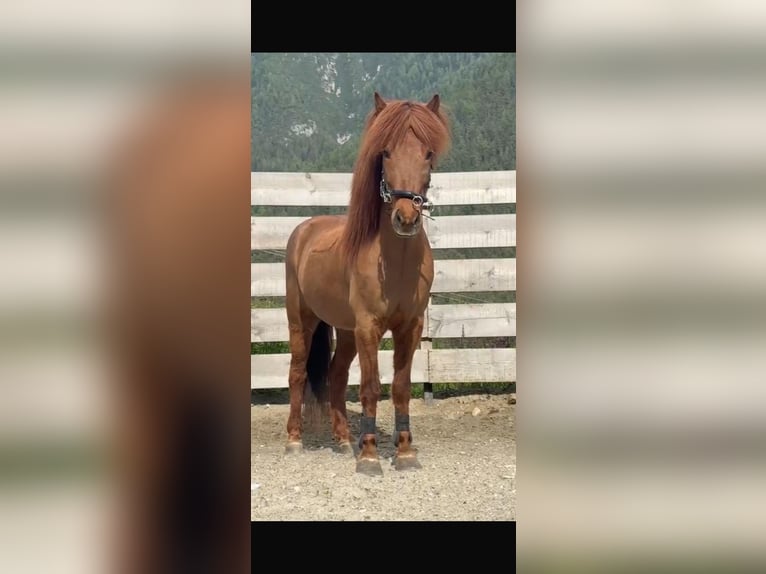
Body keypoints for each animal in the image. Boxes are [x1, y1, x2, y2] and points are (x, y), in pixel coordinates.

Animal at [284, 92, 451, 475]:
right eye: (385, 152)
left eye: (428, 154)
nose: (406, 217)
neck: (395, 262)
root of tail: (304, 229)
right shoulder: (368, 327)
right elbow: (371, 387)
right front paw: (371, 457)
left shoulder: (410, 327)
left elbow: (401, 387)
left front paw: (404, 453)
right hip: (302, 321)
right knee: (297, 373)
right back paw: (295, 440)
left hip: (344, 331)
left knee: (335, 375)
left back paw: (345, 439)